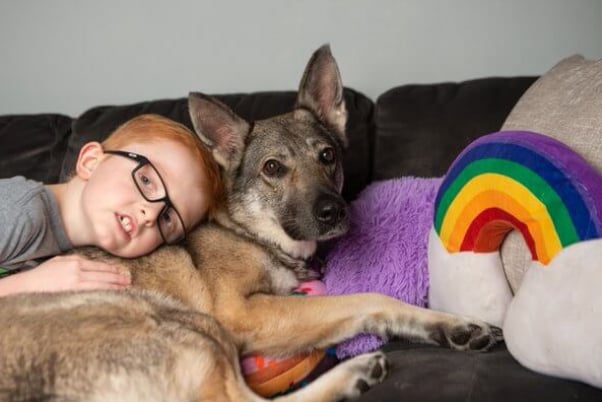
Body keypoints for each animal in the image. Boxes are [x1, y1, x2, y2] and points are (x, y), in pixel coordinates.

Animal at [0, 46, 496, 402]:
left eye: (328, 156)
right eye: (273, 168)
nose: (335, 211)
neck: (249, 230)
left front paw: (452, 327)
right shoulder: (244, 313)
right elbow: (367, 298)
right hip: (192, 325)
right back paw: (353, 373)